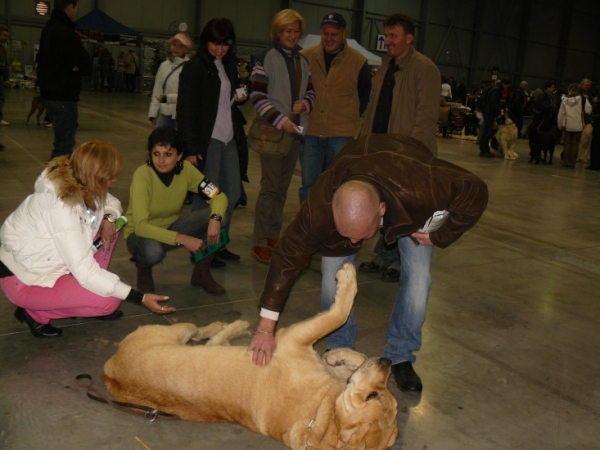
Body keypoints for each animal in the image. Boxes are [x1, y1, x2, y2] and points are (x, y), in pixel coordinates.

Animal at [103, 264, 398, 450]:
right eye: (378, 396)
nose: (387, 362)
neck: (319, 415)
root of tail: (109, 372)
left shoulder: (292, 340)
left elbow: (339, 315)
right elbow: (342, 323)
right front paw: (339, 354)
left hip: (179, 330)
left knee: (204, 335)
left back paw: (231, 328)